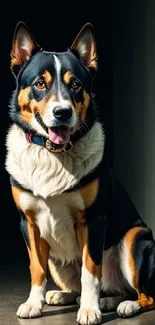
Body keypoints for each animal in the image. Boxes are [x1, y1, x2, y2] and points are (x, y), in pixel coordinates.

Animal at [4, 21, 155, 322]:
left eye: (75, 84)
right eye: (40, 83)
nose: (62, 112)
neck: (53, 154)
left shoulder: (93, 220)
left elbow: (90, 270)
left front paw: (89, 309)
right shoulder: (28, 222)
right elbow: (36, 267)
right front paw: (33, 304)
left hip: (136, 237)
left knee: (143, 294)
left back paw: (124, 305)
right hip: (57, 260)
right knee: (81, 285)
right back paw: (68, 296)